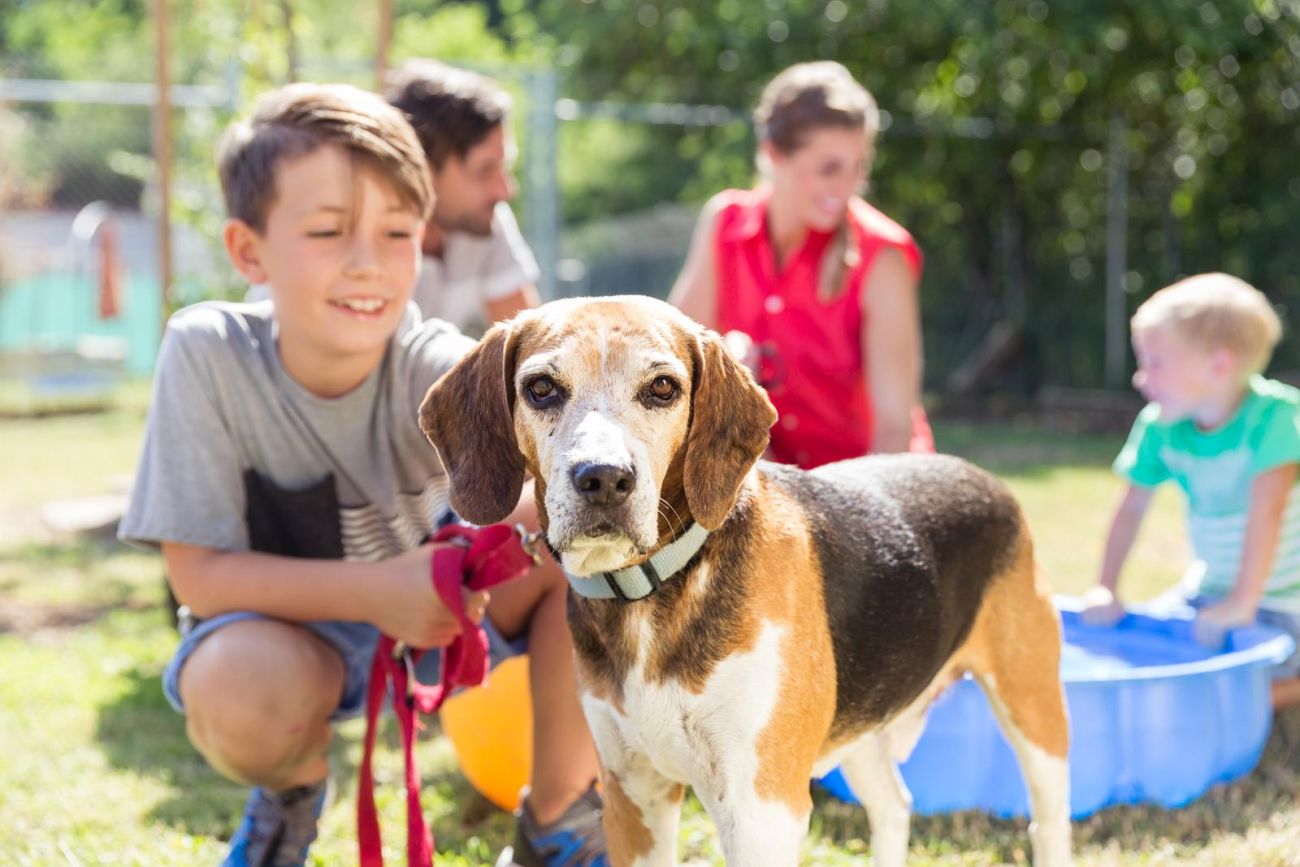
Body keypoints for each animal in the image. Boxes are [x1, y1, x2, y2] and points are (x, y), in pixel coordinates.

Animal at [421, 298, 1071, 867]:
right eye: (541, 388)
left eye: (663, 388)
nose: (603, 479)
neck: (654, 590)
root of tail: (987, 480)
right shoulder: (633, 795)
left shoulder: (762, 808)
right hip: (863, 725)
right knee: (894, 808)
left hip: (1035, 715)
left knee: (1046, 823)